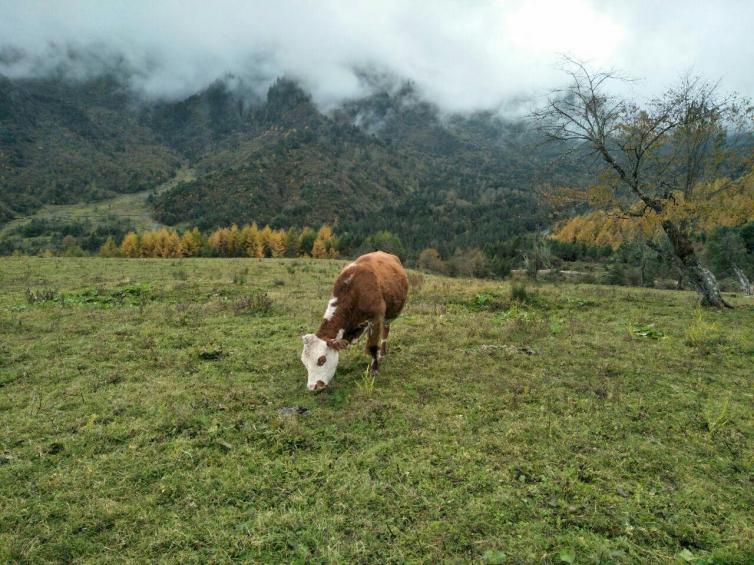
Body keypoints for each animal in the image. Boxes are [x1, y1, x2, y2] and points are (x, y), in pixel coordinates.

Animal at [300, 249, 408, 390]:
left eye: (321, 360)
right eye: (304, 362)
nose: (312, 387)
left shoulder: (376, 318)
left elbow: (372, 346)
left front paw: (374, 370)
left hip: (388, 316)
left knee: (385, 333)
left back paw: (382, 354)